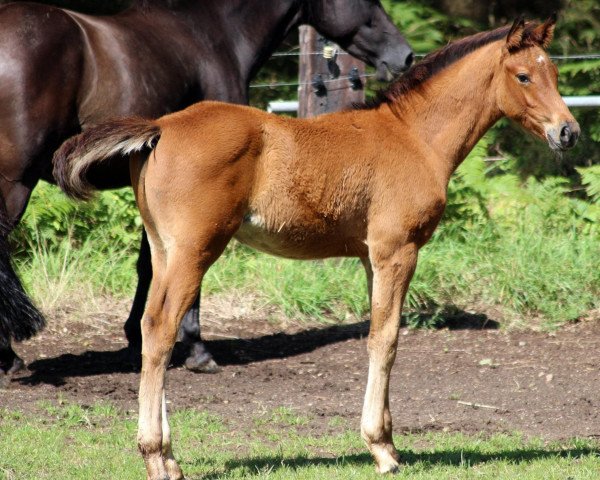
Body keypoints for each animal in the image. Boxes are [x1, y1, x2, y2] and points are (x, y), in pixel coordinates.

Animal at [0, 0, 412, 376]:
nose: (404, 55)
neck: (216, 34)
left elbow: (148, 266)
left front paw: (135, 339)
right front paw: (197, 350)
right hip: (16, 185)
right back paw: (11, 359)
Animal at [55, 15, 576, 480]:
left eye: (553, 73)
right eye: (524, 76)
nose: (568, 132)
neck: (413, 137)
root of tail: (159, 127)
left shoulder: (369, 257)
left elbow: (378, 331)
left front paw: (387, 442)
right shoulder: (397, 251)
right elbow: (386, 339)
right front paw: (383, 450)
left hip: (164, 250)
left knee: (148, 328)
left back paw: (169, 457)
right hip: (193, 251)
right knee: (162, 329)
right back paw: (155, 458)